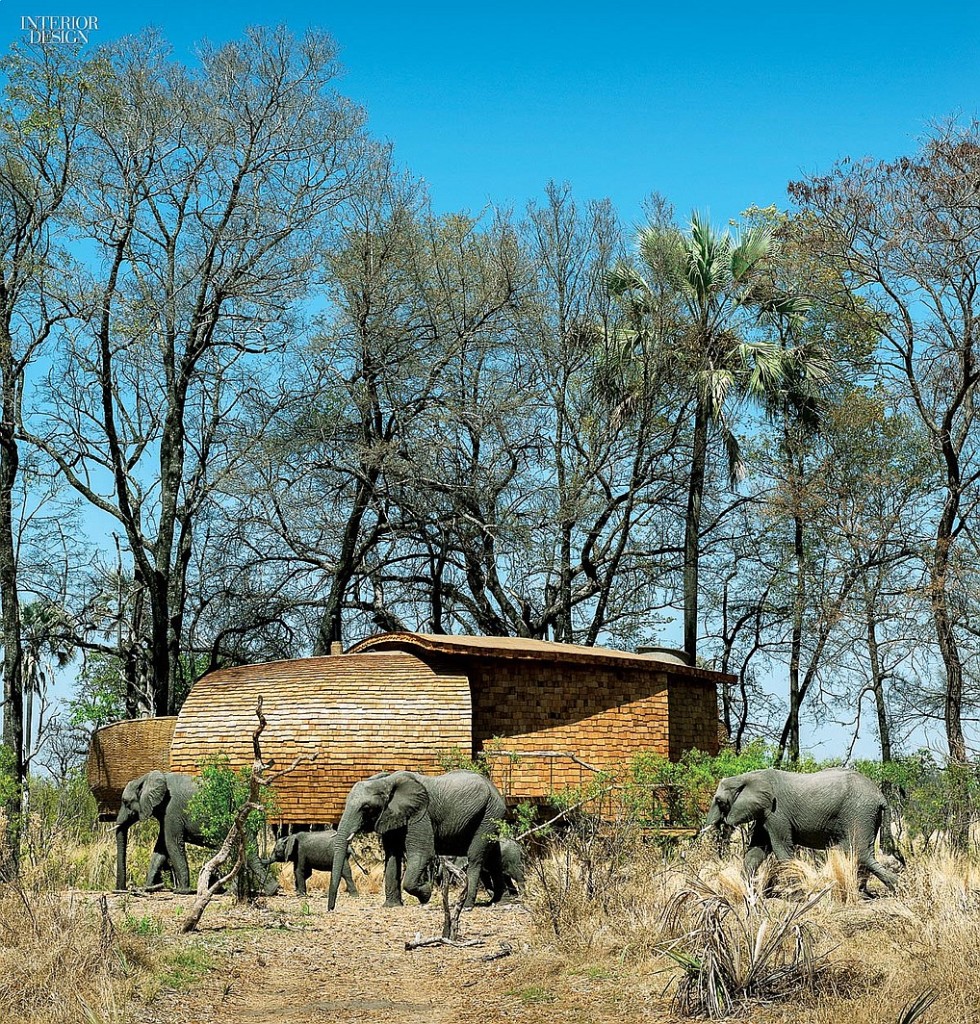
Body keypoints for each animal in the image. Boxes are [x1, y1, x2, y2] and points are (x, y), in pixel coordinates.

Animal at [117, 770, 280, 897]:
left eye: (125, 802)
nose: (120, 890)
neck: (146, 778)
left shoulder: (171, 810)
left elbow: (172, 844)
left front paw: (181, 891)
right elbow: (160, 849)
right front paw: (148, 888)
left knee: (245, 853)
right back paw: (266, 890)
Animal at [331, 770, 507, 913]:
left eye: (366, 808)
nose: (330, 909)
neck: (386, 782)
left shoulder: (420, 814)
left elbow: (423, 853)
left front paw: (426, 894)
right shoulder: (392, 816)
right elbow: (392, 856)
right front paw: (392, 906)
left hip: (490, 814)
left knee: (476, 858)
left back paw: (467, 906)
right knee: (493, 859)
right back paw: (500, 901)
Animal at [704, 765, 892, 892]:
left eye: (720, 801)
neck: (746, 777)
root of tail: (880, 795)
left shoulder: (776, 813)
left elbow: (781, 848)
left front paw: (798, 892)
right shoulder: (765, 815)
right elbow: (756, 850)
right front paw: (746, 891)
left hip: (860, 812)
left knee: (861, 852)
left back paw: (894, 888)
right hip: (868, 815)